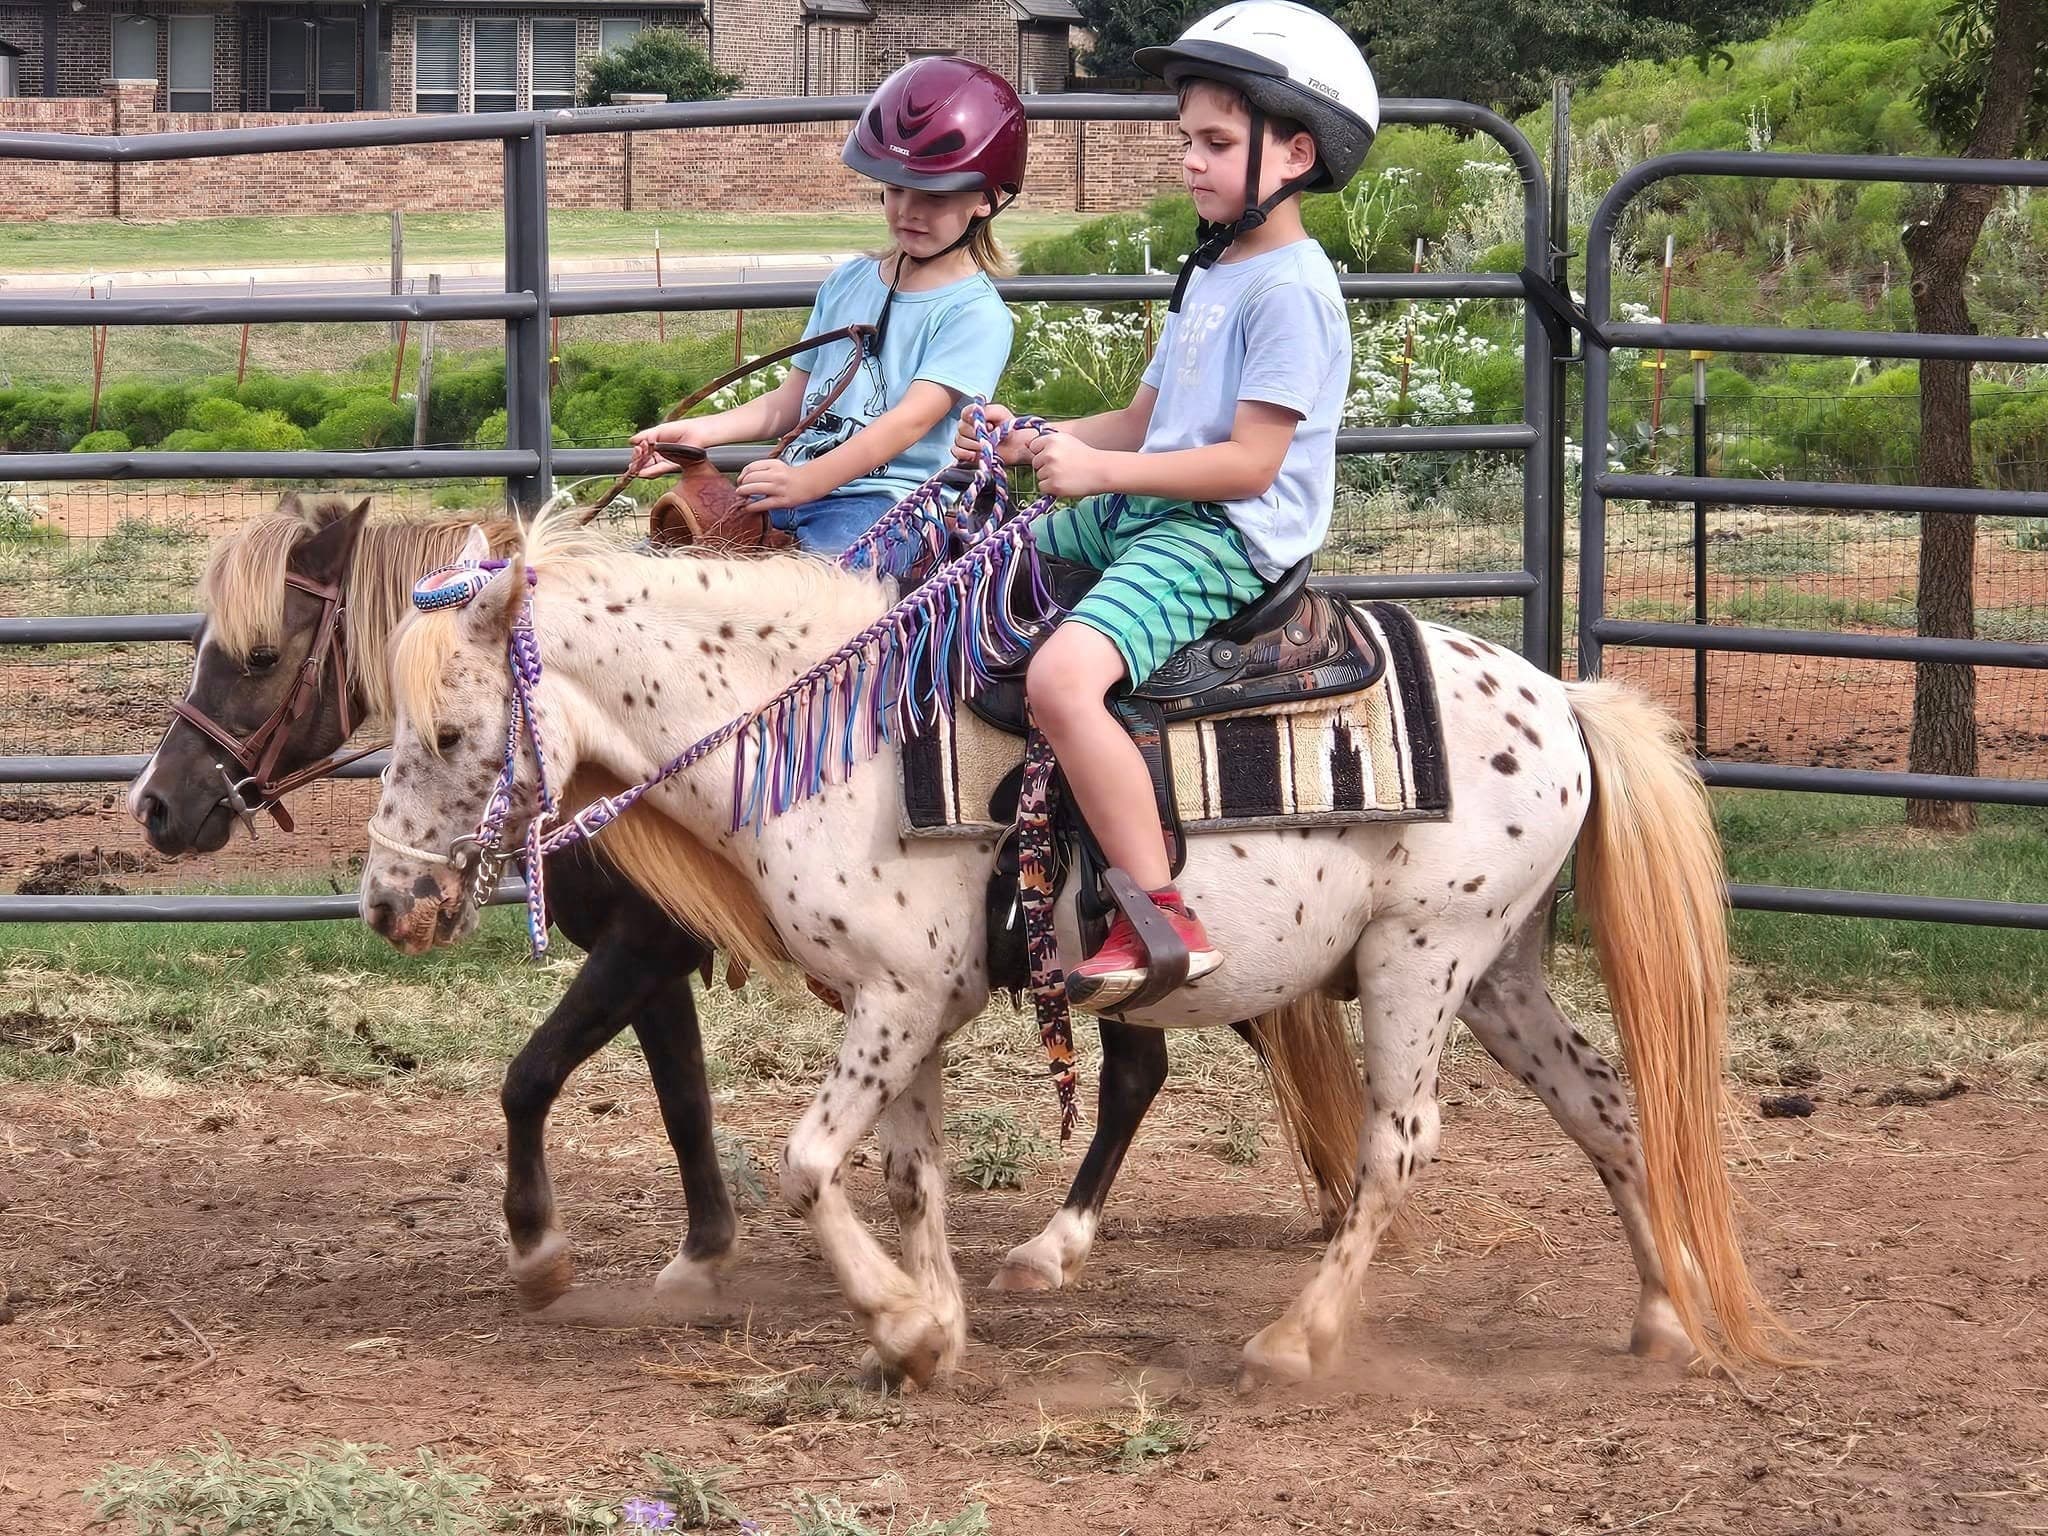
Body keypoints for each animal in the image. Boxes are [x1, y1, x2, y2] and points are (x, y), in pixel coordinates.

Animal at [126, 492, 1358, 1311]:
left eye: (258, 654)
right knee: (1153, 1067)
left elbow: (533, 1075)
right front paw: (701, 1250)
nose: (157, 807)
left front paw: (544, 1249)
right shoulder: (660, 953)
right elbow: (679, 1095)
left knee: (1173, 1062)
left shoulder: (644, 943)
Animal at [358, 504, 1798, 1389]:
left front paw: (898, 1322)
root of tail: (1560, 696)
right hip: (1498, 972)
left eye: (446, 732)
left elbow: (810, 1164)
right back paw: (1660, 1315)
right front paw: (932, 1329)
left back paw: (1297, 1339)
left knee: (1396, 1146)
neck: (843, 735)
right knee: (1606, 1108)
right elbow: (908, 1177)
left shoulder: (894, 996)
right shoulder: (910, 1005)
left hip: (1419, 961)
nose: (387, 903)